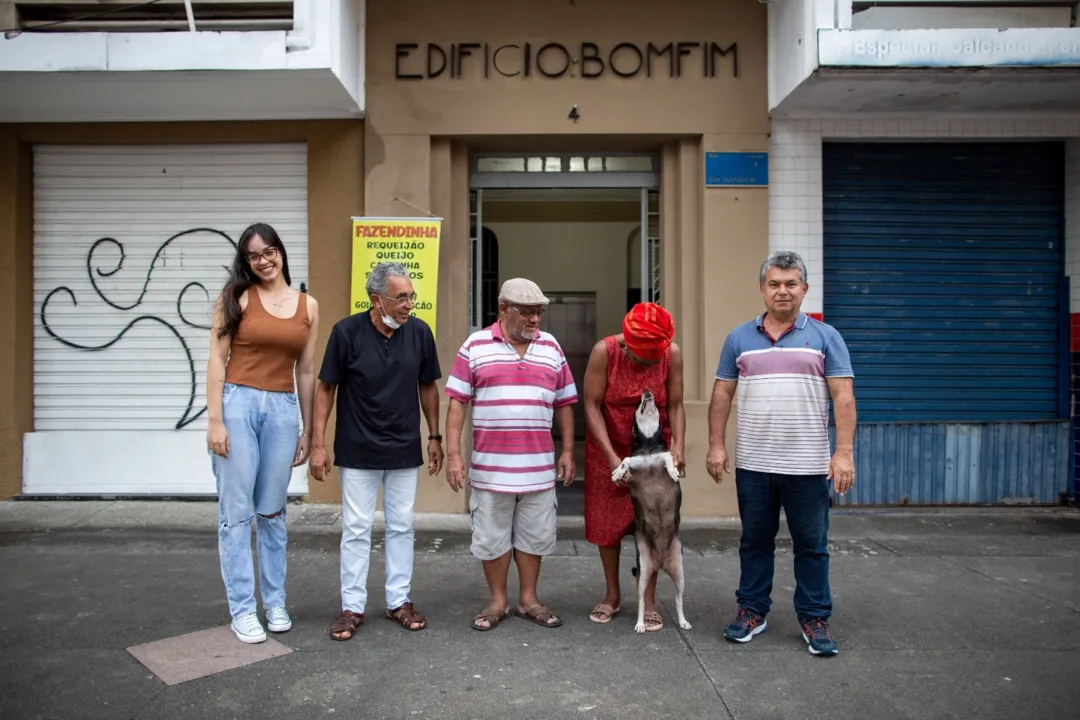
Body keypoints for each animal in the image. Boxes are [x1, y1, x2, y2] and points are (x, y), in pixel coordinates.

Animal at [613, 390, 686, 634]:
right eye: (638, 404)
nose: (647, 390)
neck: (649, 443)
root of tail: (660, 562)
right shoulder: (636, 467)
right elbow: (626, 459)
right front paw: (617, 472)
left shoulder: (661, 456)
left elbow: (668, 457)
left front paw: (673, 471)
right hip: (644, 570)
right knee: (641, 602)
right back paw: (640, 625)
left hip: (680, 572)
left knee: (678, 600)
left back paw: (683, 621)